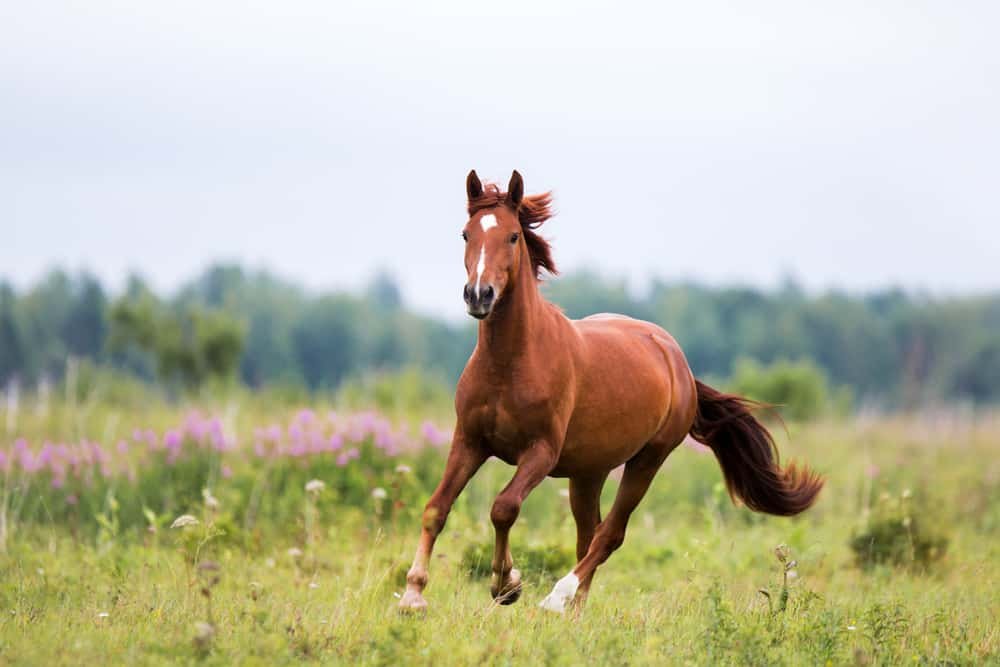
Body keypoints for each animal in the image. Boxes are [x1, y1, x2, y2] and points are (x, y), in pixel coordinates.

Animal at [396, 170, 820, 612]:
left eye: (512, 236)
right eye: (466, 234)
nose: (479, 295)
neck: (509, 364)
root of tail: (676, 359)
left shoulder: (541, 453)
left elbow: (504, 508)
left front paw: (506, 584)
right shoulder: (470, 441)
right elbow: (436, 508)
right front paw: (413, 593)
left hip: (647, 460)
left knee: (609, 534)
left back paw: (558, 597)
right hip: (589, 472)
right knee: (589, 535)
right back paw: (575, 610)